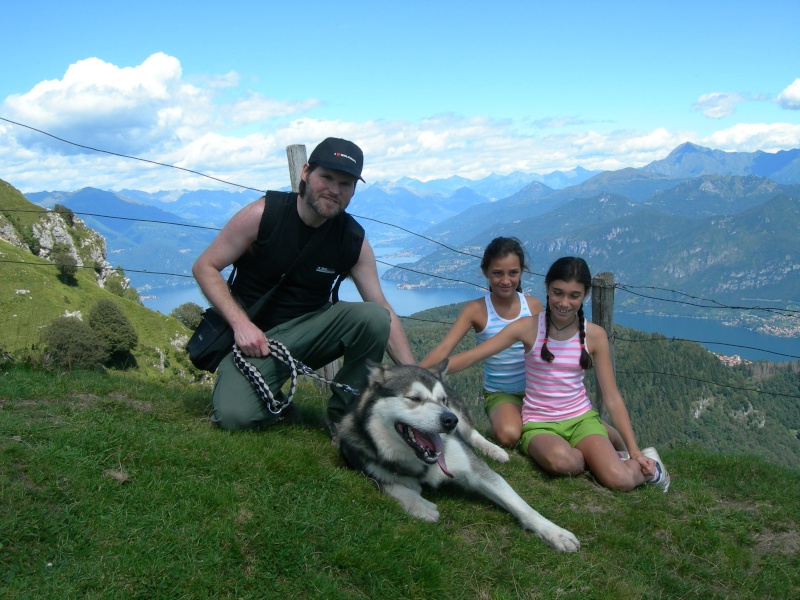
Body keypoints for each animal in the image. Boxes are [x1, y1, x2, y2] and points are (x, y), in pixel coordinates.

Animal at [332, 360, 580, 552]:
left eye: (441, 400)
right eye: (414, 398)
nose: (450, 420)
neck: (420, 461)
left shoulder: (474, 467)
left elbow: (518, 502)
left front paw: (553, 532)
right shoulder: (359, 459)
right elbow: (390, 485)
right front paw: (419, 505)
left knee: (472, 433)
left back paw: (494, 450)